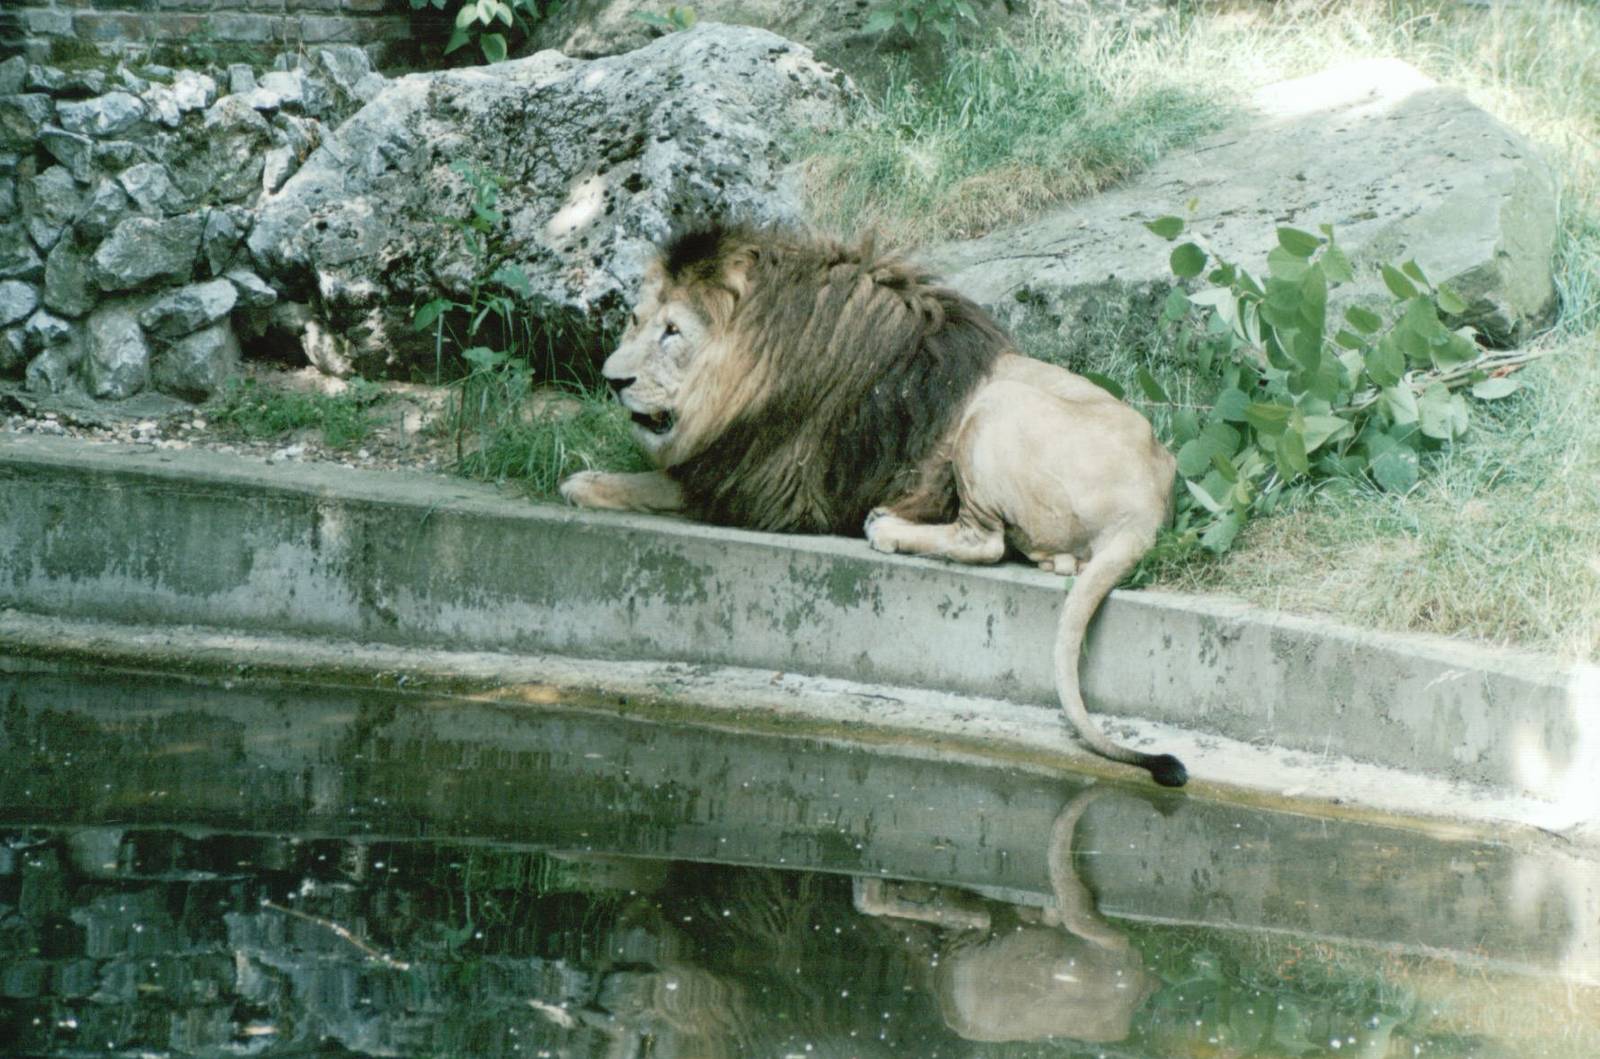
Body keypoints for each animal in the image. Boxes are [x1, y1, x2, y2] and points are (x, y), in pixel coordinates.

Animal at [560, 225, 1187, 787]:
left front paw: (584, 482)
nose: (612, 380)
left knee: (983, 542)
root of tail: (1151, 498)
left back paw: (888, 527)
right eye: (635, 320)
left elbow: (652, 484)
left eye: (673, 332)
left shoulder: (764, 486)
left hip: (996, 407)